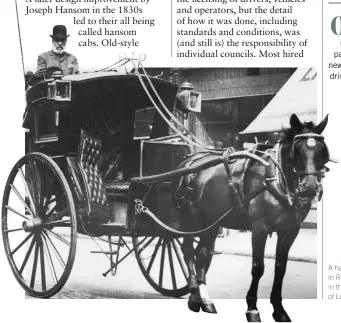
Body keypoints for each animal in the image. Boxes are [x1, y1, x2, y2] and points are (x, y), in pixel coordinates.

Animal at [177, 114, 330, 322]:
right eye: (296, 150)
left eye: (323, 151)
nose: (310, 187)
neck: (276, 180)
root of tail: (190, 160)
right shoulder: (259, 228)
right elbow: (258, 267)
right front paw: (252, 308)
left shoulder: (289, 231)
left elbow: (280, 268)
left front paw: (279, 310)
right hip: (190, 219)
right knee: (187, 251)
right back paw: (193, 295)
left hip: (210, 222)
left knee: (202, 254)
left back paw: (205, 300)